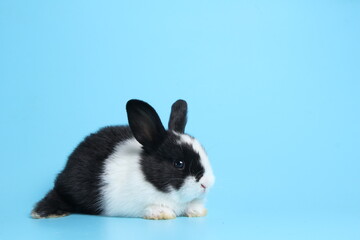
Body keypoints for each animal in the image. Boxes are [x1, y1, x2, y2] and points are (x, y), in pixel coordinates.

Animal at [31, 99, 214, 219]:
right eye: (179, 163)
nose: (207, 184)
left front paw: (197, 211)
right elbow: (151, 208)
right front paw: (162, 213)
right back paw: (44, 212)